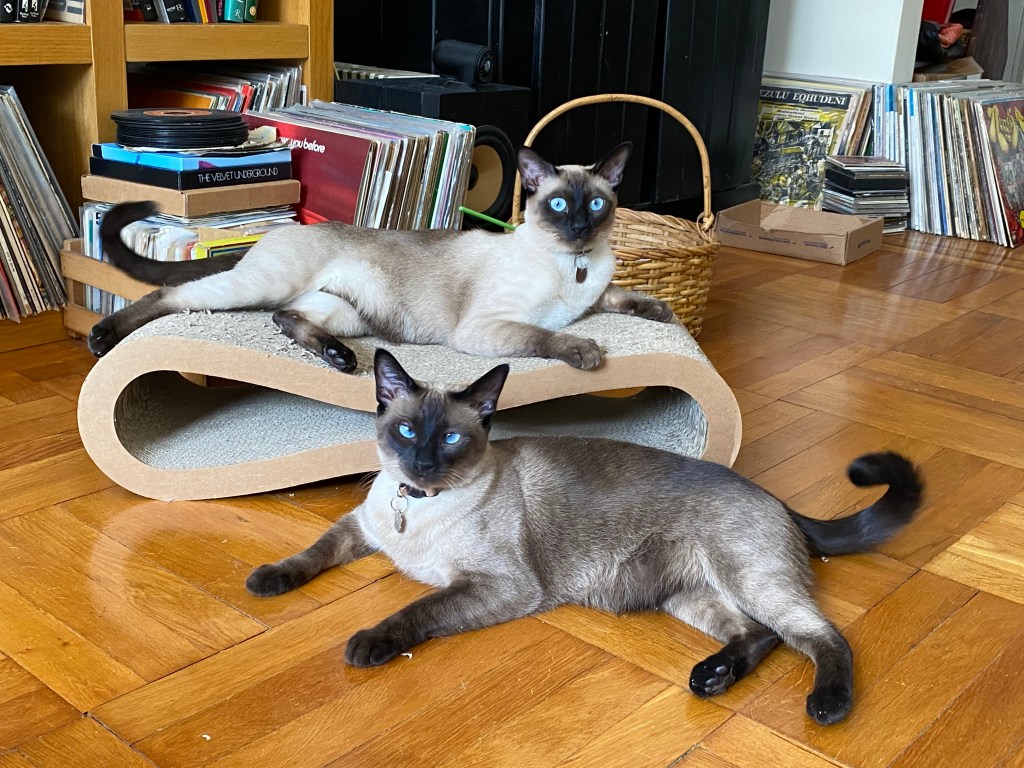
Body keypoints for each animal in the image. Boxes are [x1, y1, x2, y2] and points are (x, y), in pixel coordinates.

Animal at [87, 142, 674, 371]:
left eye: (595, 204)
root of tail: (276, 231)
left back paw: (340, 359)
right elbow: (545, 337)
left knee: (286, 318)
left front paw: (662, 312)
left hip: (345, 312)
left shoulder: (593, 296)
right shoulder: (489, 327)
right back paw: (101, 337)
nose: (578, 227)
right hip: (256, 287)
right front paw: (587, 351)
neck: (572, 265)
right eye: (557, 204)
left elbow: (620, 296)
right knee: (173, 294)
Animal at [246, 348, 923, 725]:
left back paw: (826, 707)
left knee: (821, 636)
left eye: (453, 438)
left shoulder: (498, 586)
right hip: (690, 596)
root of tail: (773, 495)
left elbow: (416, 609)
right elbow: (312, 553)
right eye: (408, 432)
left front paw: (368, 644)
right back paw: (710, 678)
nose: (424, 465)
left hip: (746, 578)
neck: (418, 508)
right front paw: (267, 581)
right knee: (760, 635)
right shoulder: (361, 530)